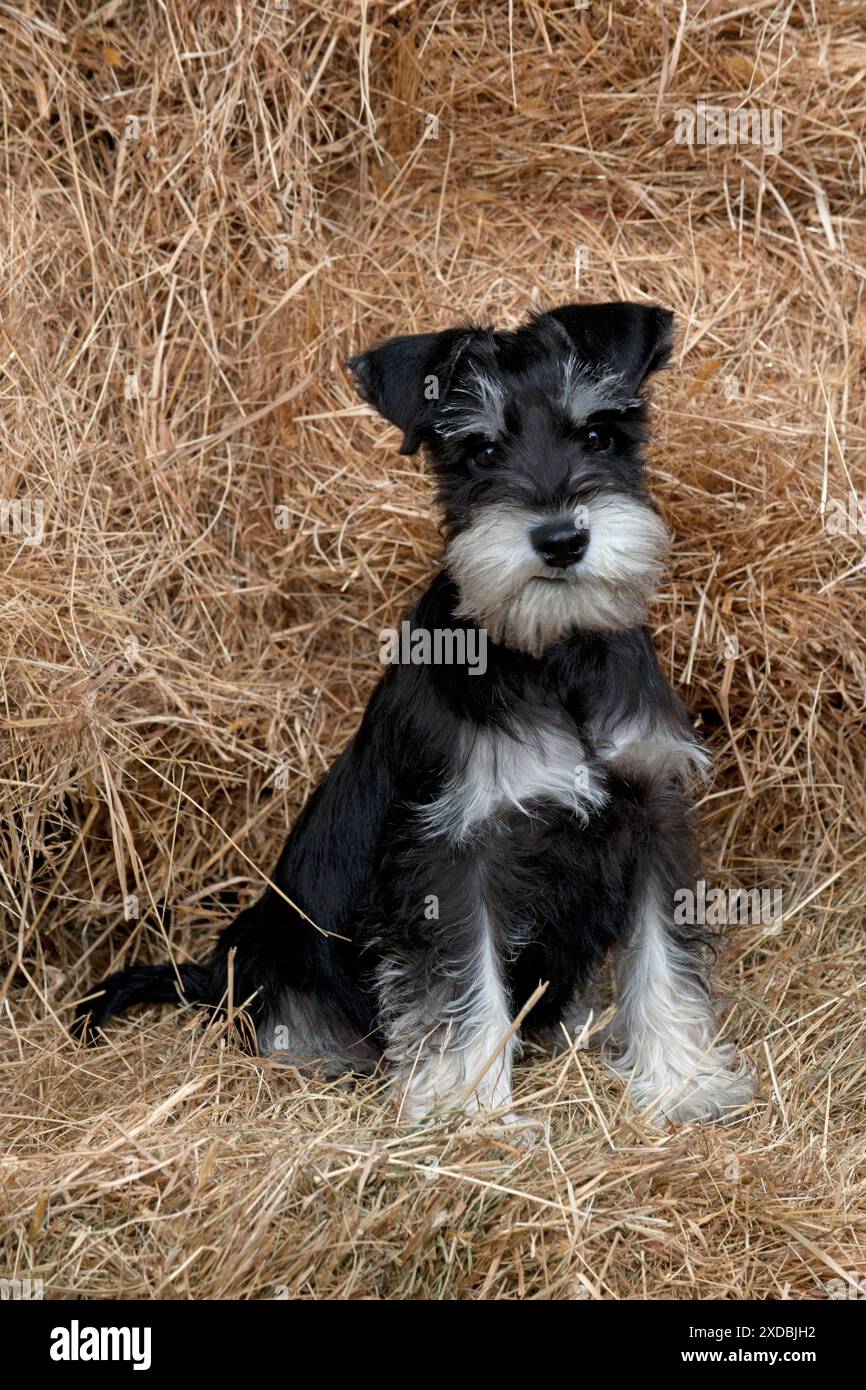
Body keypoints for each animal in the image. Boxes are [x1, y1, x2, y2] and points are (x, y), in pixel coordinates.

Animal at [77, 298, 750, 1123]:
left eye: (597, 434)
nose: (561, 539)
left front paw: (684, 1082)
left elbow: (662, 961)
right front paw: (472, 1110)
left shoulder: (654, 814)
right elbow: (466, 987)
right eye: (481, 451)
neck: (554, 657)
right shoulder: (451, 851)